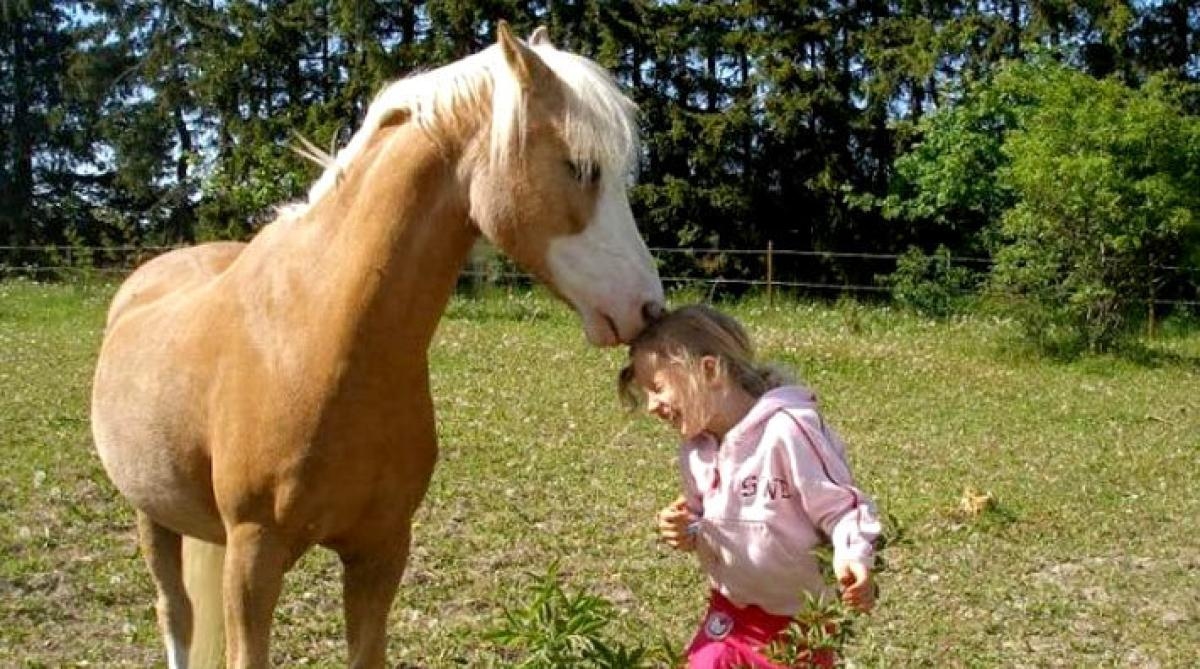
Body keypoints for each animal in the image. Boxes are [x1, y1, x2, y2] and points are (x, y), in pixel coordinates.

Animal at [88, 22, 662, 669]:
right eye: (581, 166)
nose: (647, 307)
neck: (319, 341)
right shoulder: (253, 556)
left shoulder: (382, 547)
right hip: (151, 515)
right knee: (175, 614)